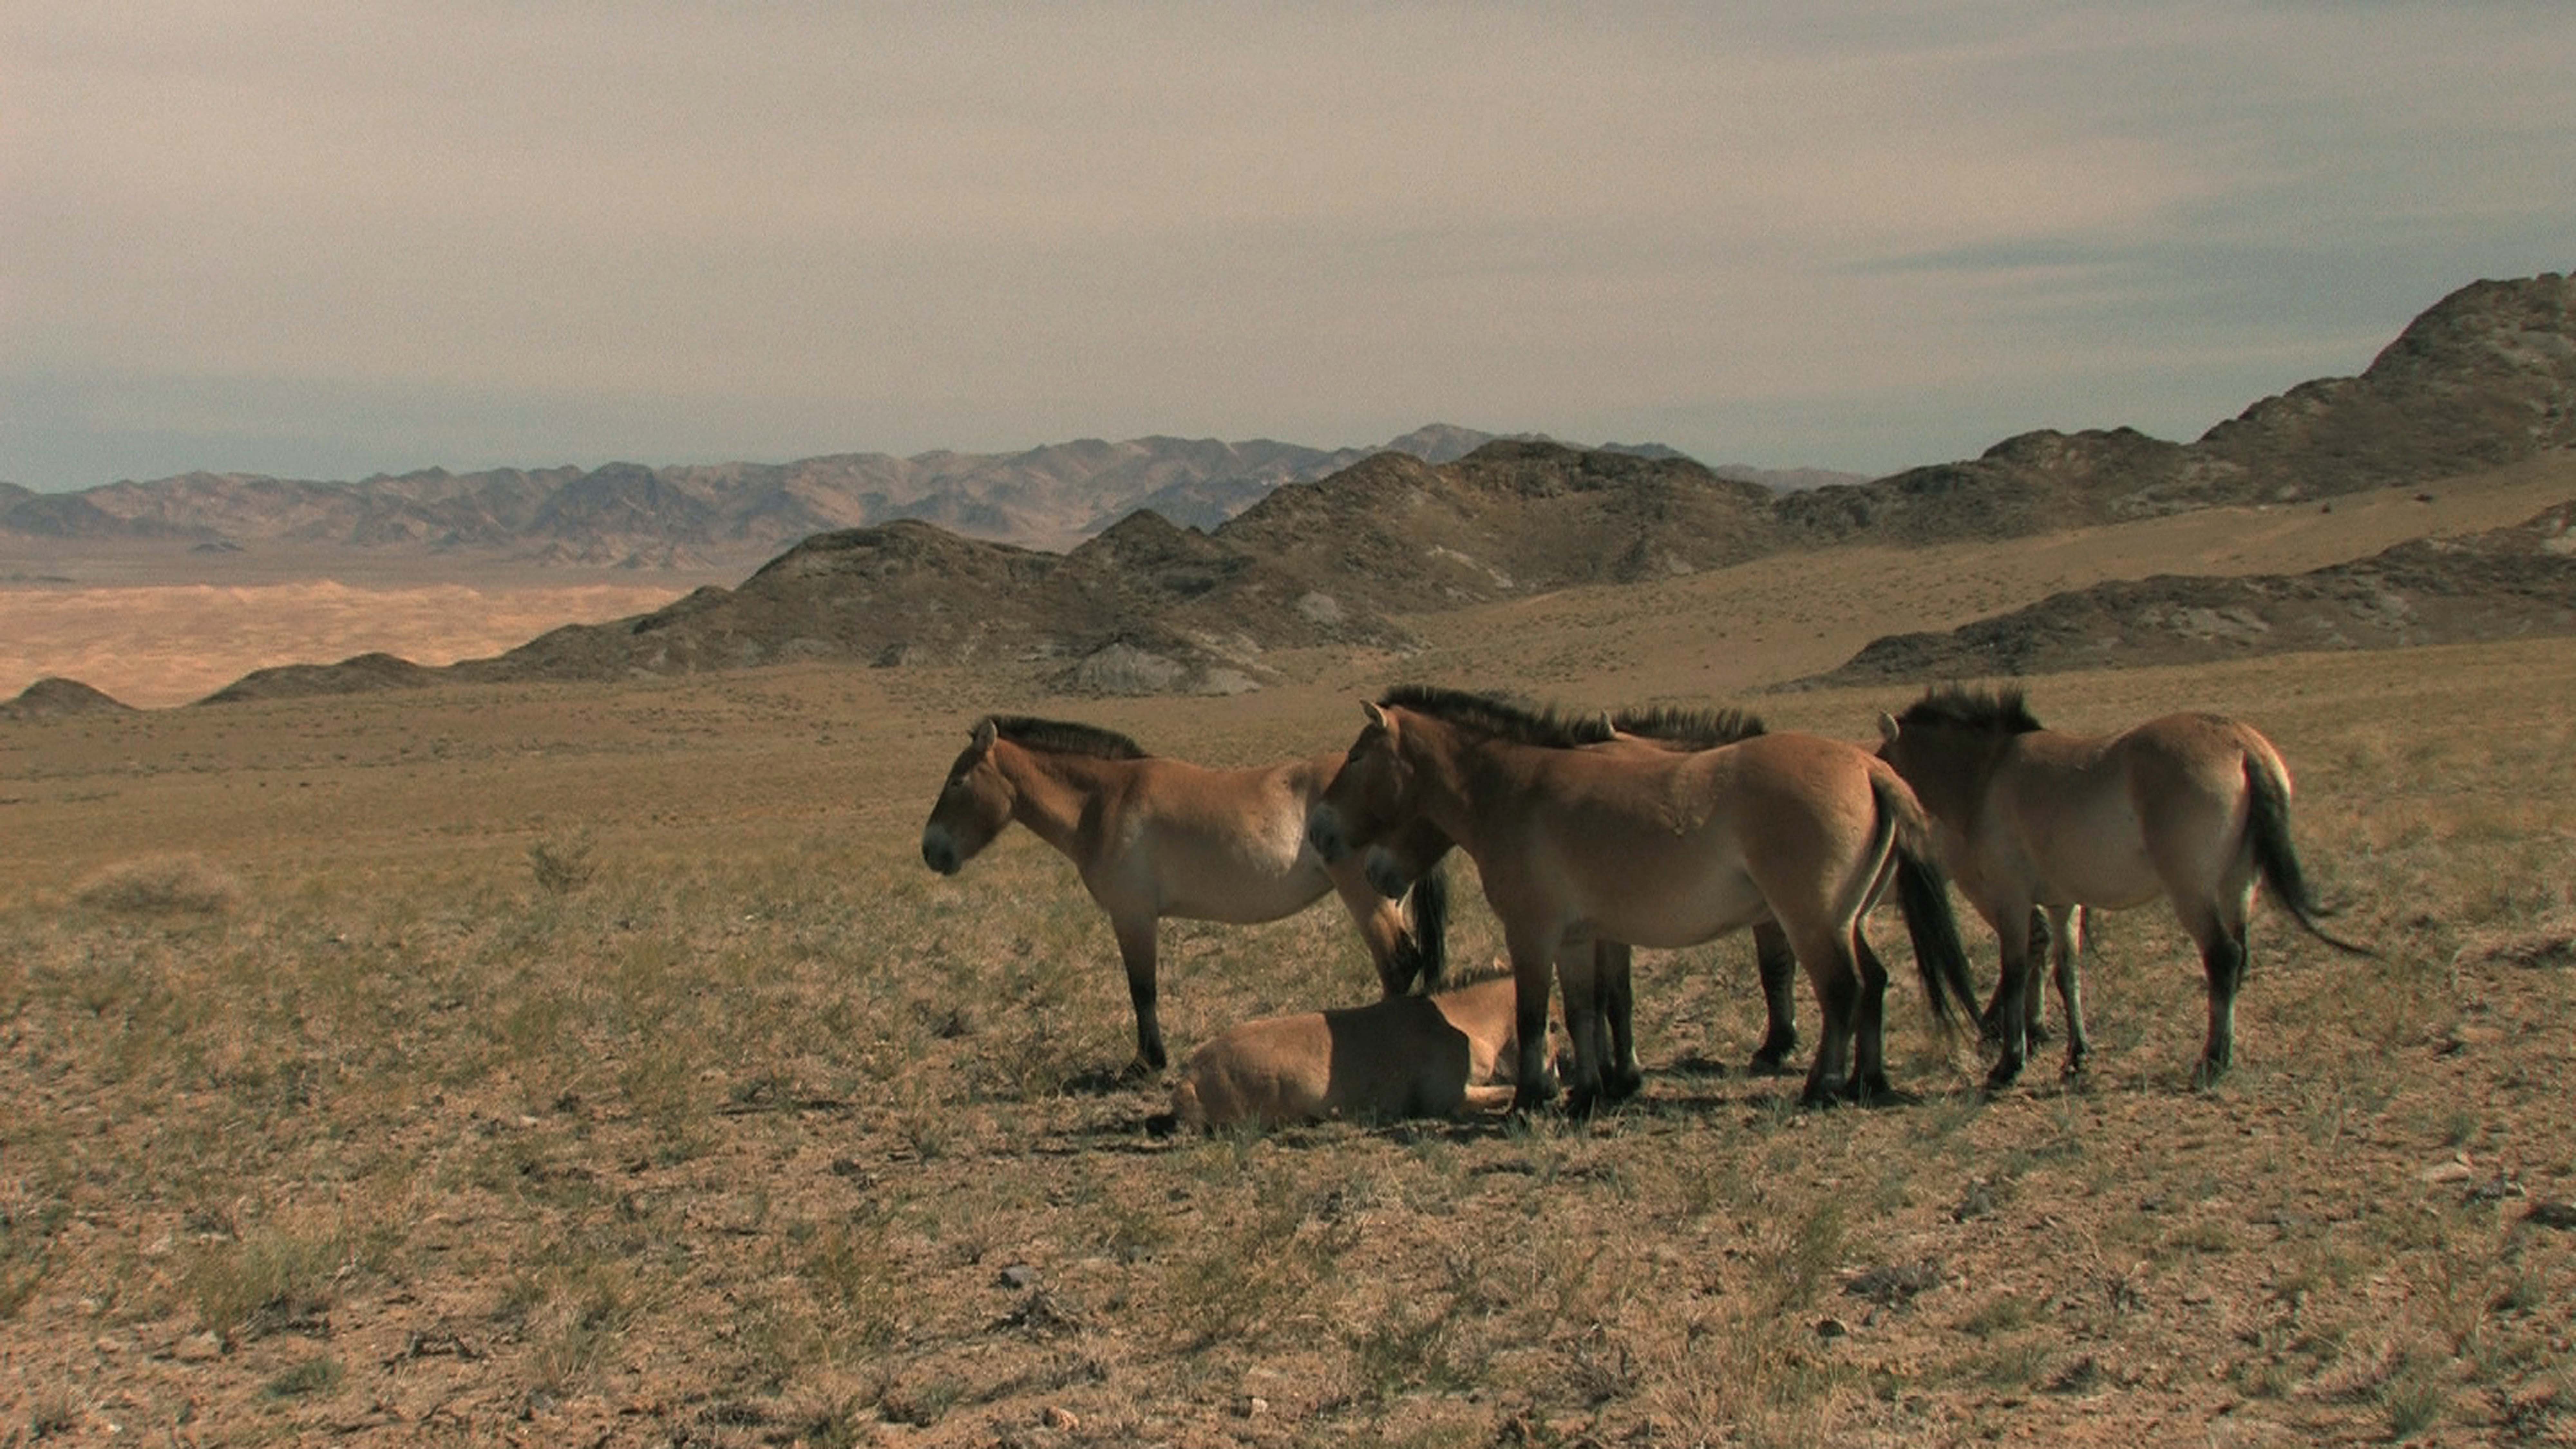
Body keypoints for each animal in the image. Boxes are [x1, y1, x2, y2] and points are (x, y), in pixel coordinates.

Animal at [922, 711, 1453, 1072]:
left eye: (958, 781)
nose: (931, 850)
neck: (1103, 802)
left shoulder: (1133, 916)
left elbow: (1142, 989)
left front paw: (1146, 1063)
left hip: (1366, 897)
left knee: (1397, 963)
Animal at [1154, 964, 1546, 1134]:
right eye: (1552, 1024)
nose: (1553, 1081)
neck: (1456, 1020)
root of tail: (1192, 1076)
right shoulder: (1448, 1099)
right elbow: (1505, 1090)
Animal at [1309, 680, 1968, 1109]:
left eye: (1358, 756)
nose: (1319, 830)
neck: (1517, 790)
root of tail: (1869, 769)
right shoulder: (1579, 937)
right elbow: (1585, 1009)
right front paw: (1589, 1093)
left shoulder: (1532, 934)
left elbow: (1533, 1013)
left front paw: (1531, 1098)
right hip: (1846, 920)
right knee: (1873, 982)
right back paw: (1867, 1082)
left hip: (1811, 922)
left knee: (1843, 990)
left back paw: (1823, 1088)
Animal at [1875, 686, 2370, 1083]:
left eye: (1882, 763)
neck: (1989, 773)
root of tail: (2242, 746)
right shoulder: (2062, 903)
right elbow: (2068, 975)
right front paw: (2076, 1057)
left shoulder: (2010, 900)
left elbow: (2015, 973)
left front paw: (2009, 1064)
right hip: (2239, 884)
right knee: (2240, 956)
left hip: (2192, 893)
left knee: (2223, 957)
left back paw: (2211, 1061)